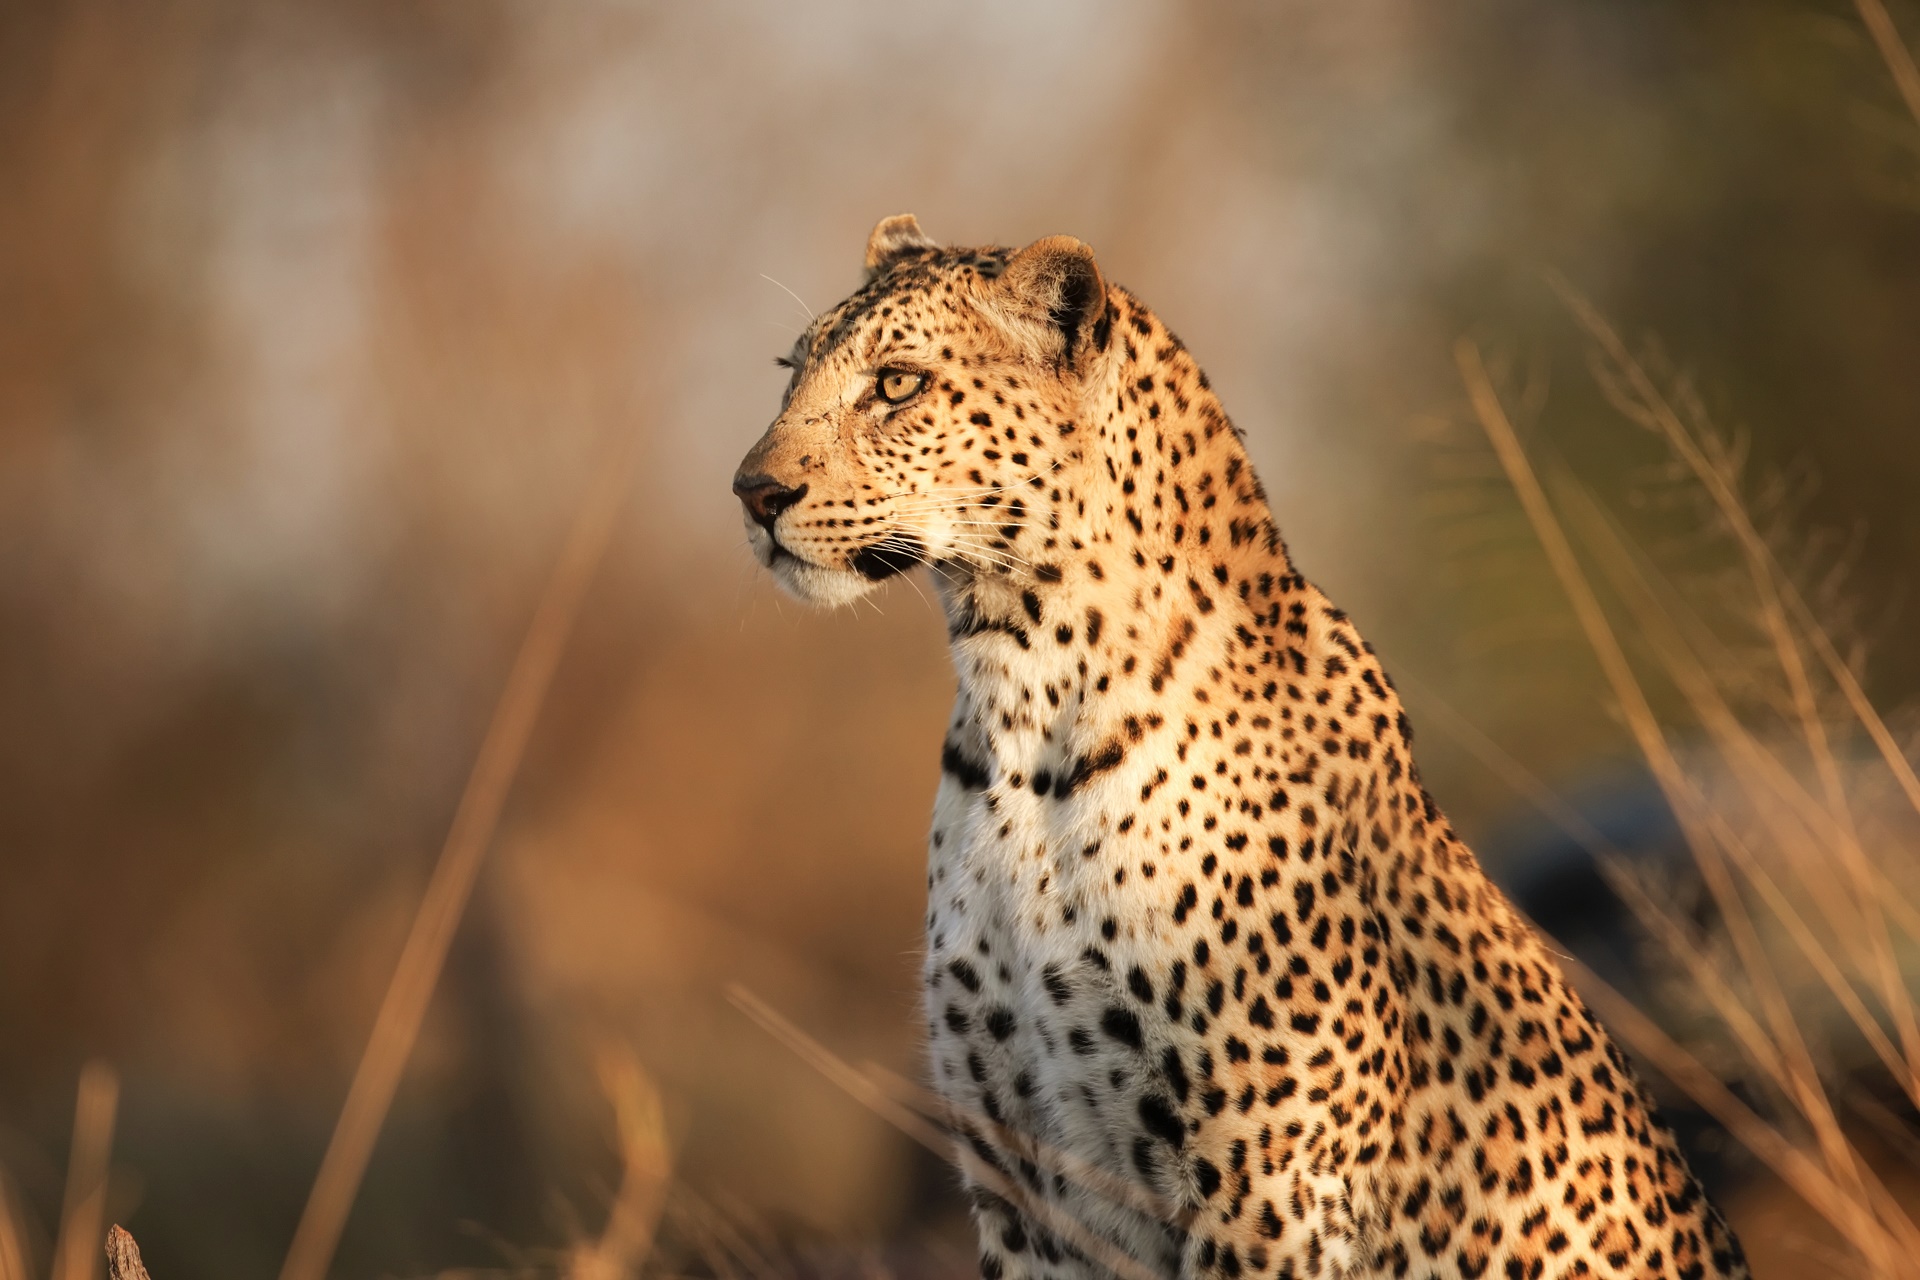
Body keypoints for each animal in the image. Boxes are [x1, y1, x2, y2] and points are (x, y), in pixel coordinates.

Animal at [725, 217, 1751, 1280]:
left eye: (897, 384)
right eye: (790, 373)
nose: (753, 491)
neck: (1018, 698)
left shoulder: (1268, 1176)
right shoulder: (1021, 1177)